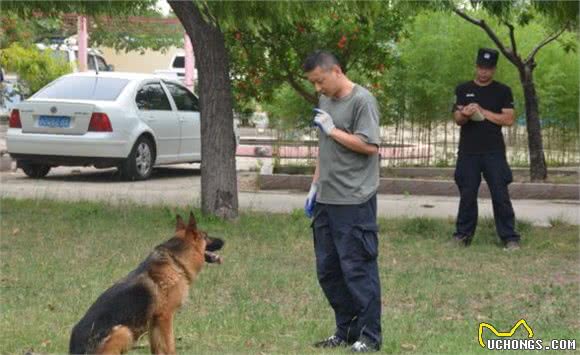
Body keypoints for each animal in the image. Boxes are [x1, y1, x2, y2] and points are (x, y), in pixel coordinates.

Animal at [68, 213, 222, 354]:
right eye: (206, 236)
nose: (223, 240)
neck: (176, 262)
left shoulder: (154, 323)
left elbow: (158, 348)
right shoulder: (165, 318)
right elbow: (169, 346)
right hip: (124, 332)